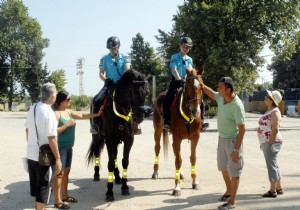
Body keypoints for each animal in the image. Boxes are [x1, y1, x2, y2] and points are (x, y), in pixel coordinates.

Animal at [152, 68, 204, 196]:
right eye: (188, 86)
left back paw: (180, 173)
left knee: (175, 152)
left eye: (201, 87)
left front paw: (194, 182)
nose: (196, 111)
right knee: (157, 148)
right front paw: (177, 187)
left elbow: (192, 158)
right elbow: (178, 160)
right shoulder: (177, 137)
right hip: (158, 129)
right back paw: (155, 172)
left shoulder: (196, 137)